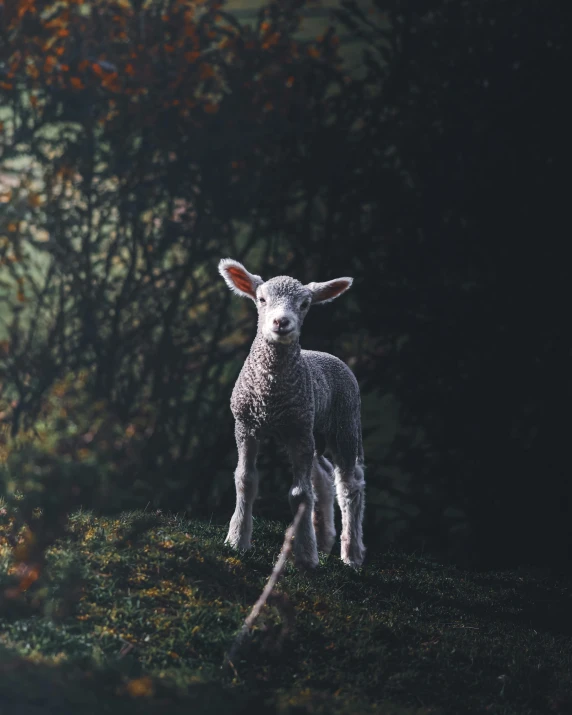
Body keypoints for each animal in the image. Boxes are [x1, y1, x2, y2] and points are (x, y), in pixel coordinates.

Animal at [219, 258, 366, 572]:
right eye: (261, 299)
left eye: (305, 304)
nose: (281, 322)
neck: (271, 394)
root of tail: (327, 354)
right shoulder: (246, 425)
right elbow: (245, 479)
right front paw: (237, 540)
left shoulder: (297, 430)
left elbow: (299, 494)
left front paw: (305, 557)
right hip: (314, 431)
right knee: (323, 476)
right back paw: (324, 539)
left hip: (345, 423)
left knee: (350, 485)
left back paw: (351, 554)